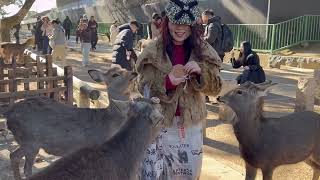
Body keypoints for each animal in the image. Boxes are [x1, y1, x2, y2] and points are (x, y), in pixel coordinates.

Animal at [2, 64, 144, 179]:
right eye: (115, 74)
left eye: (124, 68)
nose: (134, 73)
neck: (109, 123)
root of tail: (9, 114)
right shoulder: (96, 147)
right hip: (30, 142)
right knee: (25, 167)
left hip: (27, 142)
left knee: (13, 156)